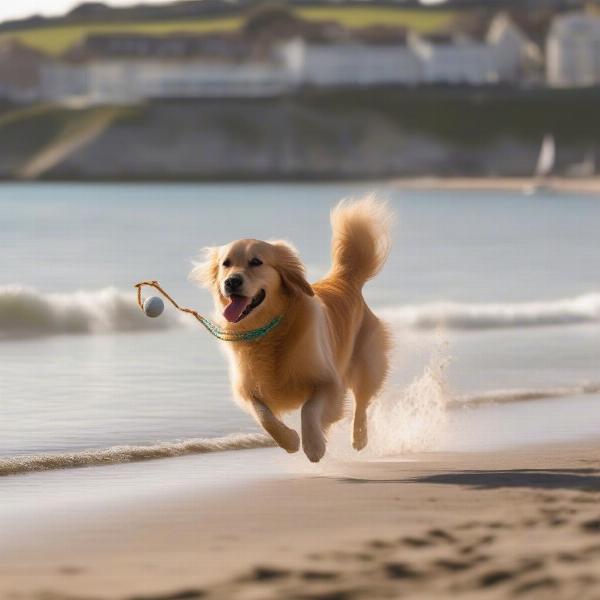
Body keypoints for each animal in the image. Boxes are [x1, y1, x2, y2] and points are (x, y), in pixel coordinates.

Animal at [190, 198, 392, 464]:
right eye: (226, 264)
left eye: (256, 262)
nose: (231, 281)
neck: (267, 330)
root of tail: (344, 278)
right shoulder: (247, 391)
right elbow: (264, 417)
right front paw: (291, 440)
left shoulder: (329, 381)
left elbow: (309, 409)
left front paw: (314, 446)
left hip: (367, 363)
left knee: (362, 401)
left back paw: (358, 437)